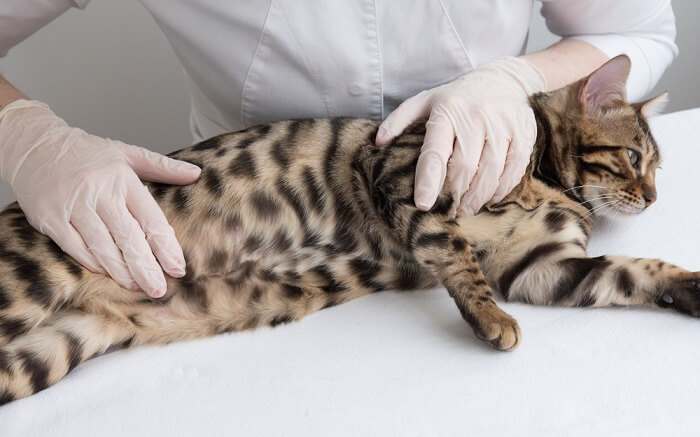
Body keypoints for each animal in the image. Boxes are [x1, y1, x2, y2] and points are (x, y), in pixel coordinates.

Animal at [0, 55, 696, 406]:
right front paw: (490, 319)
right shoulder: (405, 171)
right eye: (633, 157)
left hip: (54, 349)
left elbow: (634, 272)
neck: (546, 180)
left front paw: (690, 285)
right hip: (32, 281)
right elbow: (456, 253)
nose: (654, 197)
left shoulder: (541, 266)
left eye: (657, 166)